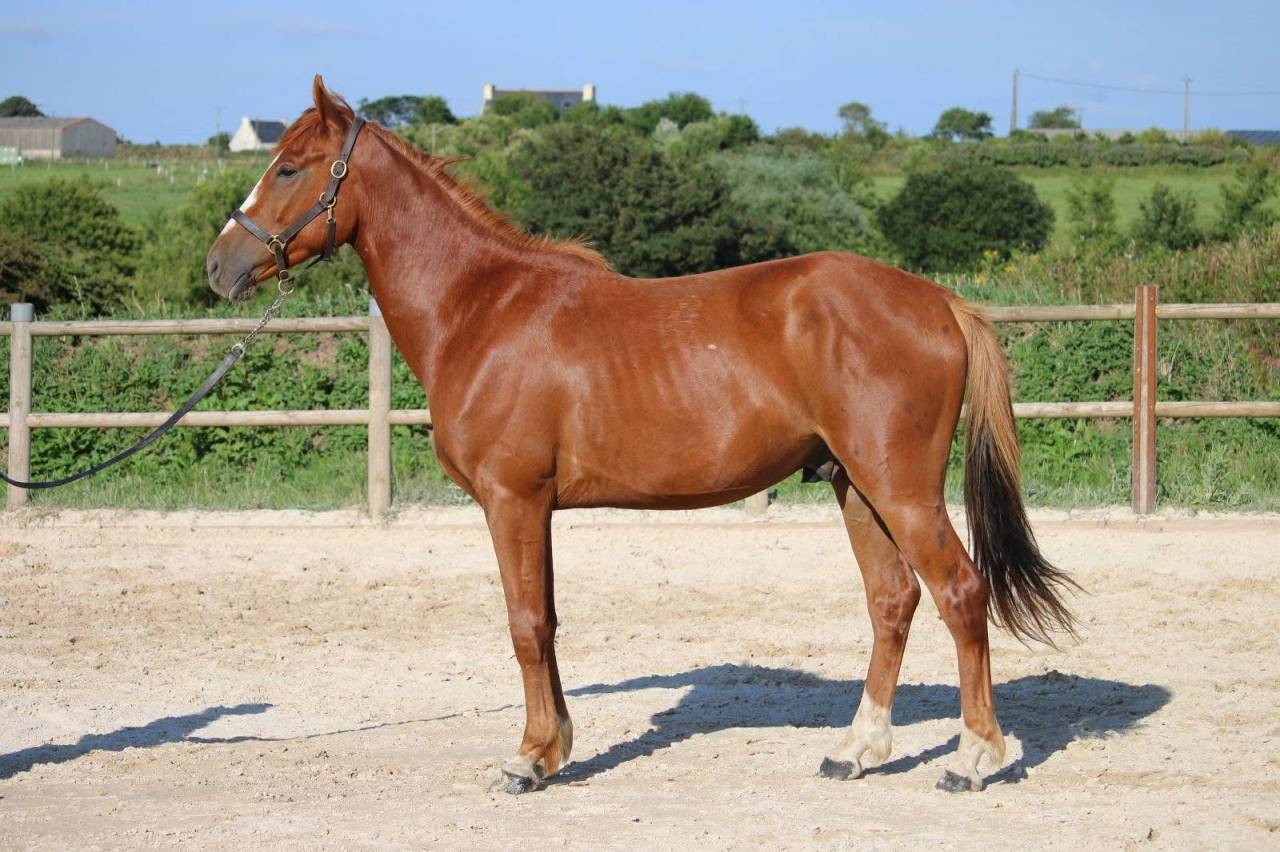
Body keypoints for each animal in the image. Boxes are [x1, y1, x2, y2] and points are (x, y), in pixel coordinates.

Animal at [205, 76, 1076, 794]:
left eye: (290, 169)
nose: (220, 266)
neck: (481, 307)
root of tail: (938, 301)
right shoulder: (535, 508)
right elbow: (548, 621)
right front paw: (556, 747)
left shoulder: (512, 500)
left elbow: (524, 625)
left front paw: (526, 761)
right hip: (855, 487)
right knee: (893, 601)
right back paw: (855, 751)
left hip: (902, 491)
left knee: (960, 592)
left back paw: (974, 758)